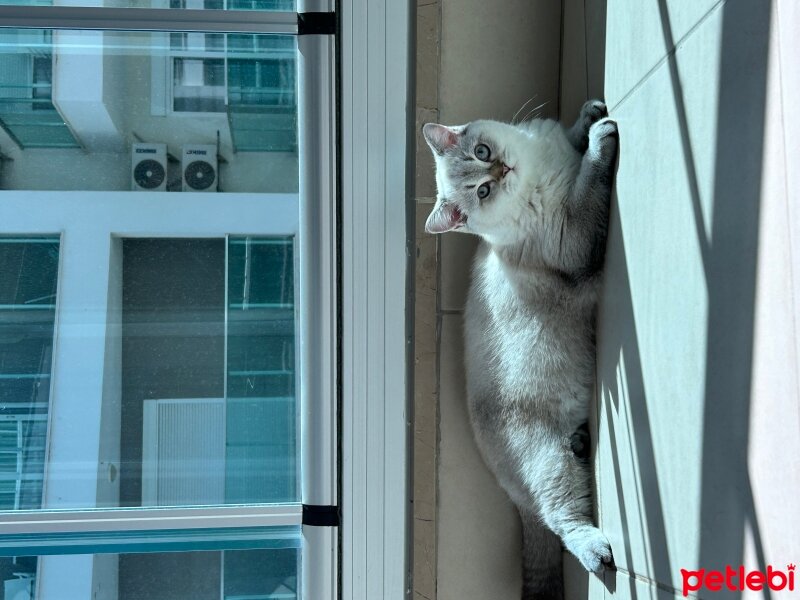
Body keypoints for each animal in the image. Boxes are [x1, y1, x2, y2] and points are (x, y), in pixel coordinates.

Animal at [424, 101, 620, 596]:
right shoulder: (574, 237)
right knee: (560, 519)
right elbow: (591, 177)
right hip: (547, 464)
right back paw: (599, 553)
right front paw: (603, 134)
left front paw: (591, 115)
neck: (538, 163)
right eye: (485, 190)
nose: (501, 168)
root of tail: (514, 497)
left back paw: (582, 439)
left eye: (482, 151)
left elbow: (574, 135)